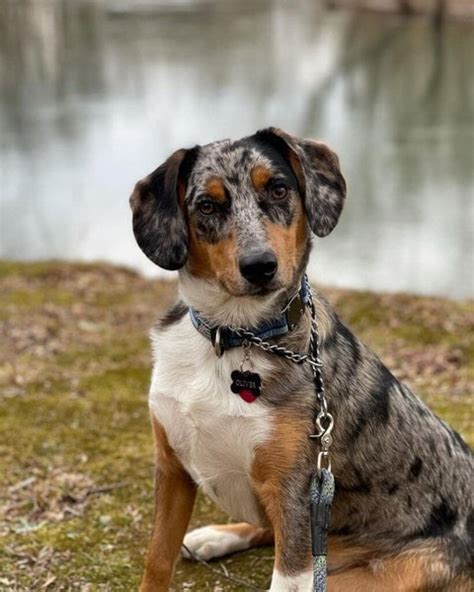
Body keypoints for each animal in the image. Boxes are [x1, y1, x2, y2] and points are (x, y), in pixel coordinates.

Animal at [130, 127, 474, 588]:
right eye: (207, 205)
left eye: (278, 189)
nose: (260, 265)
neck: (233, 335)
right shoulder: (171, 470)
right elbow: (157, 559)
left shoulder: (293, 495)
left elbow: (284, 569)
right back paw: (216, 537)